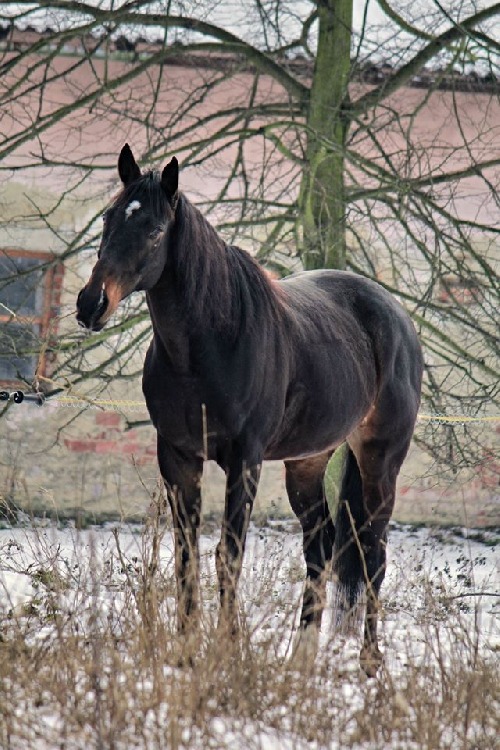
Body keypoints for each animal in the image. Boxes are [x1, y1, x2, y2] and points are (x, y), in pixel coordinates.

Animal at [77, 144, 422, 680]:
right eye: (109, 218)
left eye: (154, 229)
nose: (91, 304)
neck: (209, 346)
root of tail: (395, 317)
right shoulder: (178, 457)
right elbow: (187, 556)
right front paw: (187, 651)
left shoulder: (245, 460)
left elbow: (229, 555)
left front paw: (225, 647)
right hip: (307, 462)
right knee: (321, 548)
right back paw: (300, 659)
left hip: (381, 461)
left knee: (372, 555)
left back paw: (370, 661)